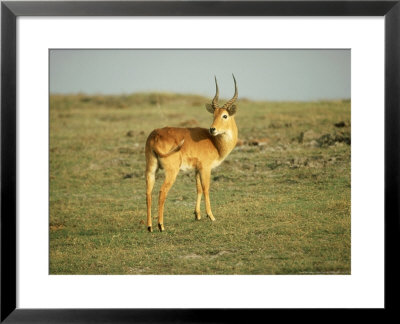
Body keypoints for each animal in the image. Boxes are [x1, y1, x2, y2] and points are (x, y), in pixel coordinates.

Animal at [145, 74, 239, 232]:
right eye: (214, 115)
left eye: (224, 115)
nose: (212, 129)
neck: (214, 142)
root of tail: (155, 135)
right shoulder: (205, 168)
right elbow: (206, 188)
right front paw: (211, 216)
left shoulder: (196, 169)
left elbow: (198, 188)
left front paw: (197, 215)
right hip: (171, 171)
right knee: (162, 192)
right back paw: (161, 225)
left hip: (151, 169)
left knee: (148, 193)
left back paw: (149, 226)